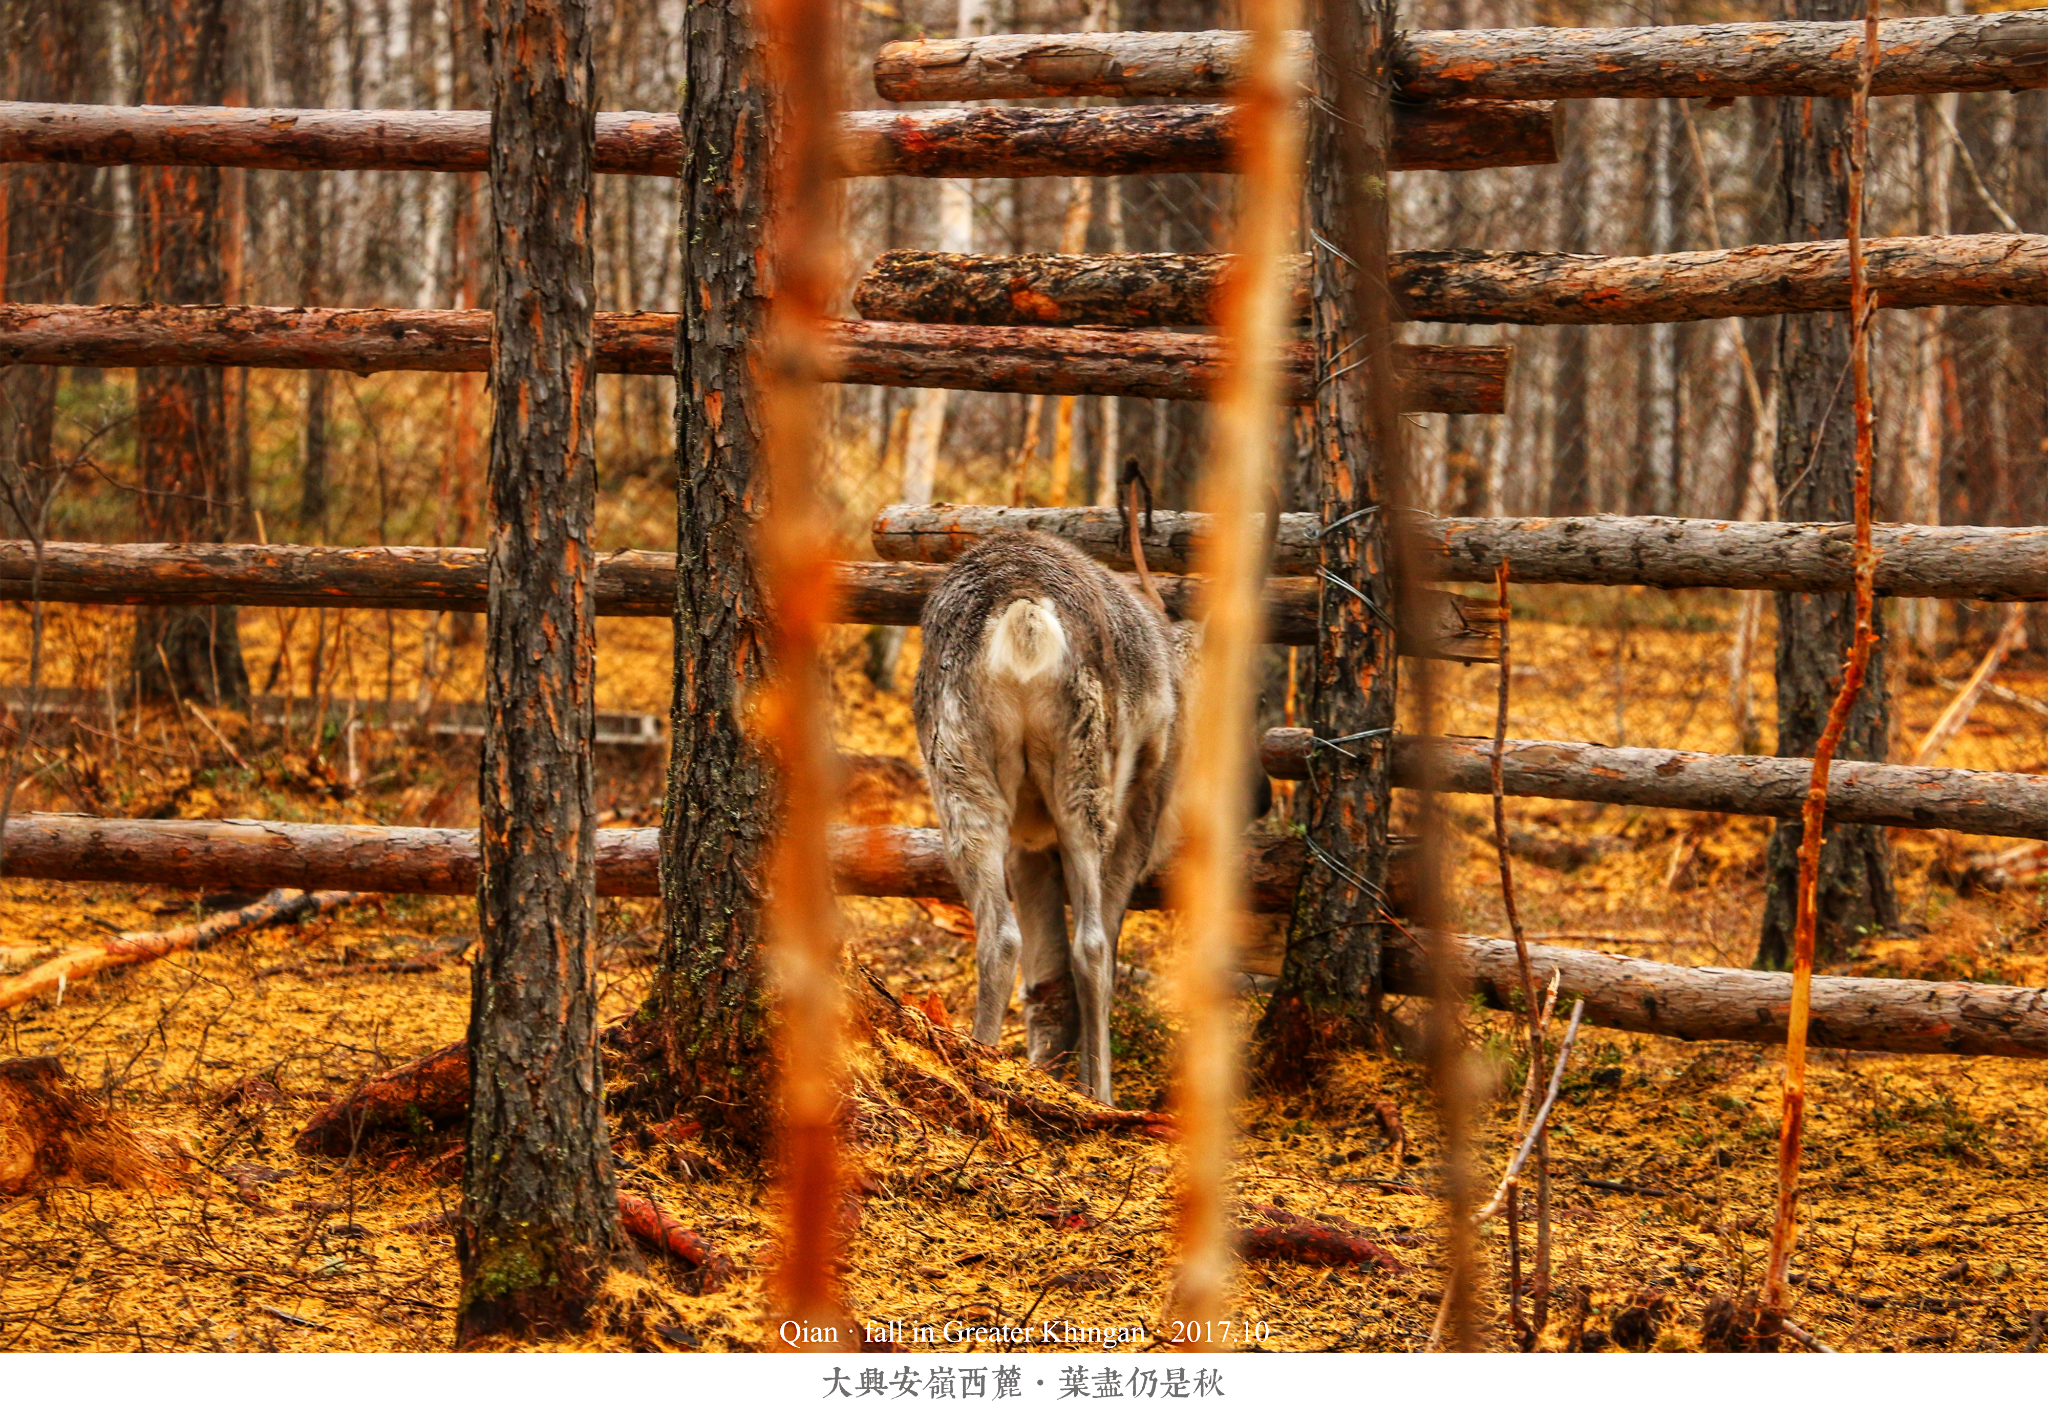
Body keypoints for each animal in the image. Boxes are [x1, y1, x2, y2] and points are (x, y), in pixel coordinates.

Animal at [913, 463, 1261, 1106]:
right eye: (1249, 703)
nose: (1260, 794)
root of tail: (1023, 610)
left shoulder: (1027, 843)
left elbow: (1044, 975)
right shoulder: (1145, 807)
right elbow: (1097, 947)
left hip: (959, 773)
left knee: (998, 938)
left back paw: (979, 1066)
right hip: (1088, 781)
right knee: (1093, 946)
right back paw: (1101, 1096)